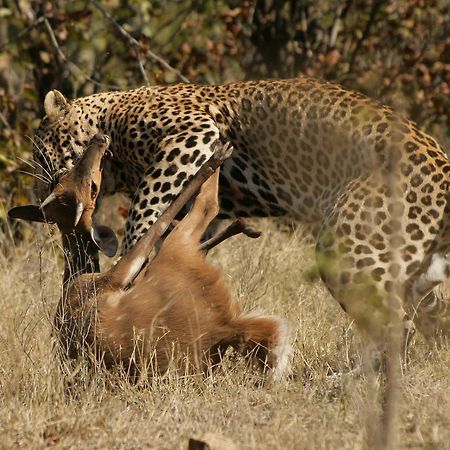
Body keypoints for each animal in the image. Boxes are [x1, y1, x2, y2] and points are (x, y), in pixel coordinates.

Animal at [19, 77, 450, 350]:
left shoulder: (190, 134)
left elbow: (146, 206)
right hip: (410, 269)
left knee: (396, 326)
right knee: (432, 320)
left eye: (42, 152)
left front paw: (131, 256)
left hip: (350, 249)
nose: (42, 193)